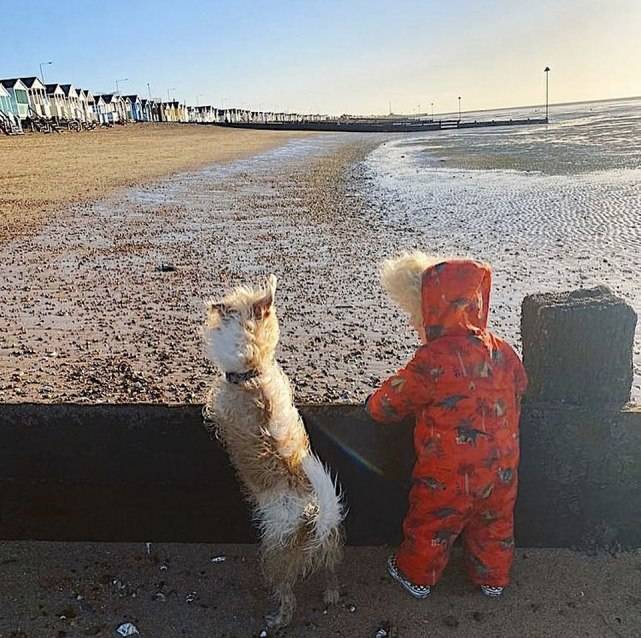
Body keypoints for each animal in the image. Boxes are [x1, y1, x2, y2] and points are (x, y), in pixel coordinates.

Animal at [204, 276, 344, 632]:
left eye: (229, 305)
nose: (213, 305)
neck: (253, 371)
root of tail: (314, 518)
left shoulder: (220, 407)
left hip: (274, 554)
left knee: (286, 594)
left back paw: (278, 618)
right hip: (329, 547)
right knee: (331, 573)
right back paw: (331, 594)